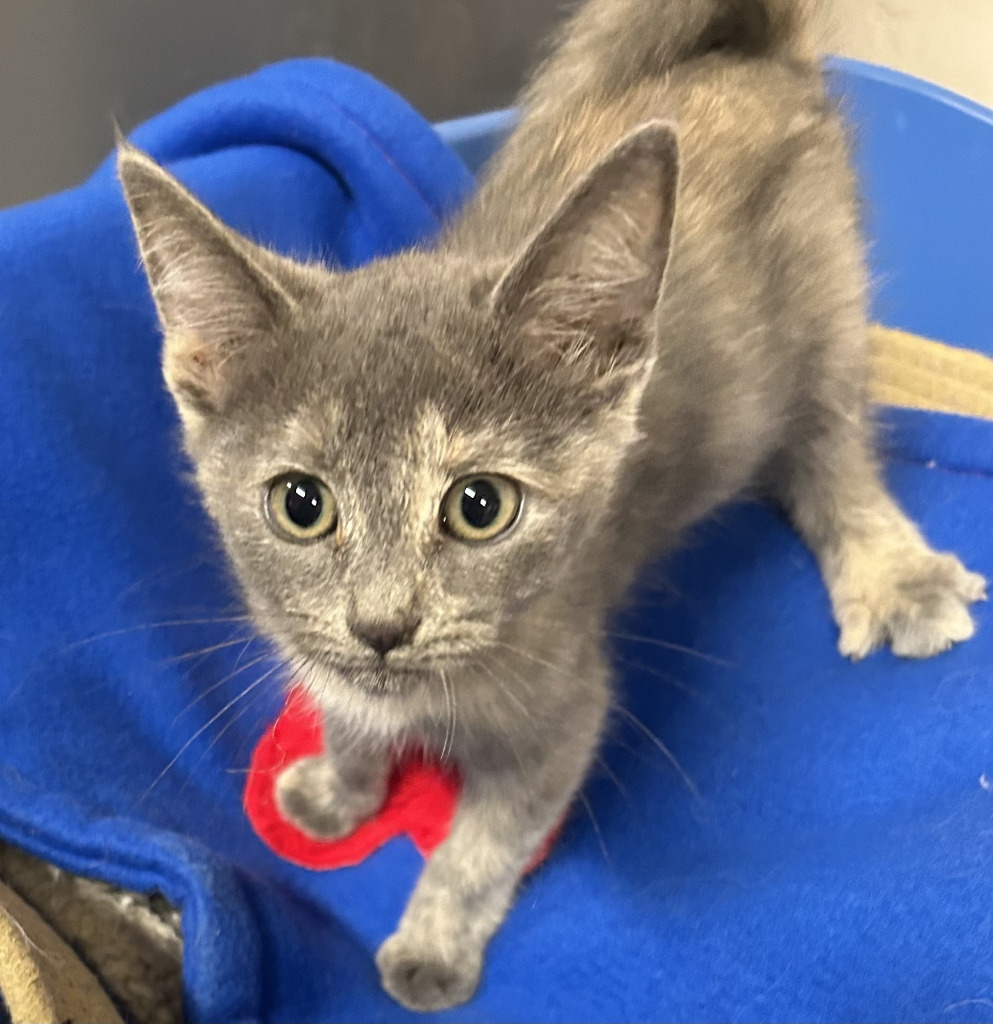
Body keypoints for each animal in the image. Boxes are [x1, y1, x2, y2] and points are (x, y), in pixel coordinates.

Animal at [116, 0, 982, 1007]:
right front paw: (339, 788)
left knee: (833, 443)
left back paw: (893, 576)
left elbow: (482, 845)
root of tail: (741, 51)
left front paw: (431, 947)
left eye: (479, 506)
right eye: (301, 503)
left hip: (826, 309)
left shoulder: (563, 708)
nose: (381, 625)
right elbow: (349, 717)